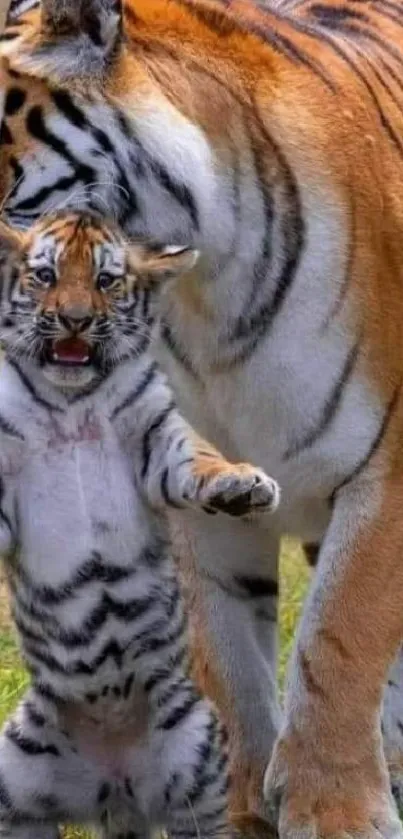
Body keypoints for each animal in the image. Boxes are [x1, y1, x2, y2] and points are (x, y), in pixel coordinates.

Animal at [0, 0, 403, 836]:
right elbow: (228, 666)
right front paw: (244, 807)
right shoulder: (191, 495)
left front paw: (334, 811)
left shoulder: (387, 469)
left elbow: (341, 638)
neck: (204, 291)